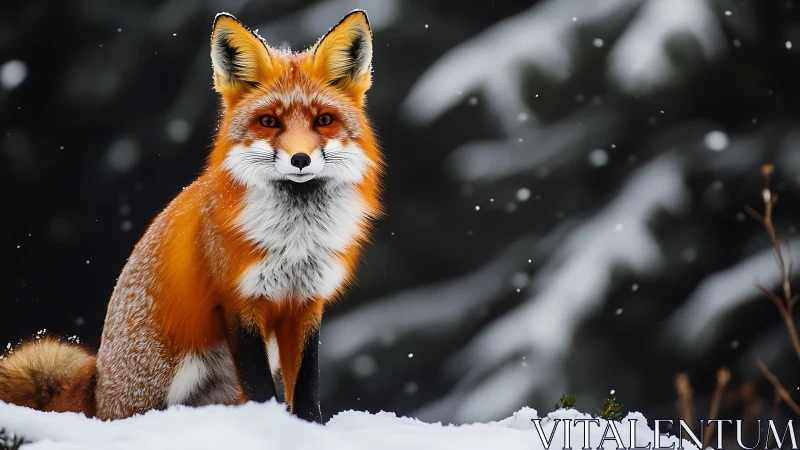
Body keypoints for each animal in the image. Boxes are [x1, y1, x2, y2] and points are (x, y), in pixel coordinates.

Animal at [0, 10, 382, 423]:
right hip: (165, 378)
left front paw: (309, 428)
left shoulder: (306, 302)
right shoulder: (238, 301)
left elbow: (307, 389)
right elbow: (262, 389)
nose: (300, 159)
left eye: (324, 120)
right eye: (269, 122)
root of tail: (96, 386)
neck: (294, 239)